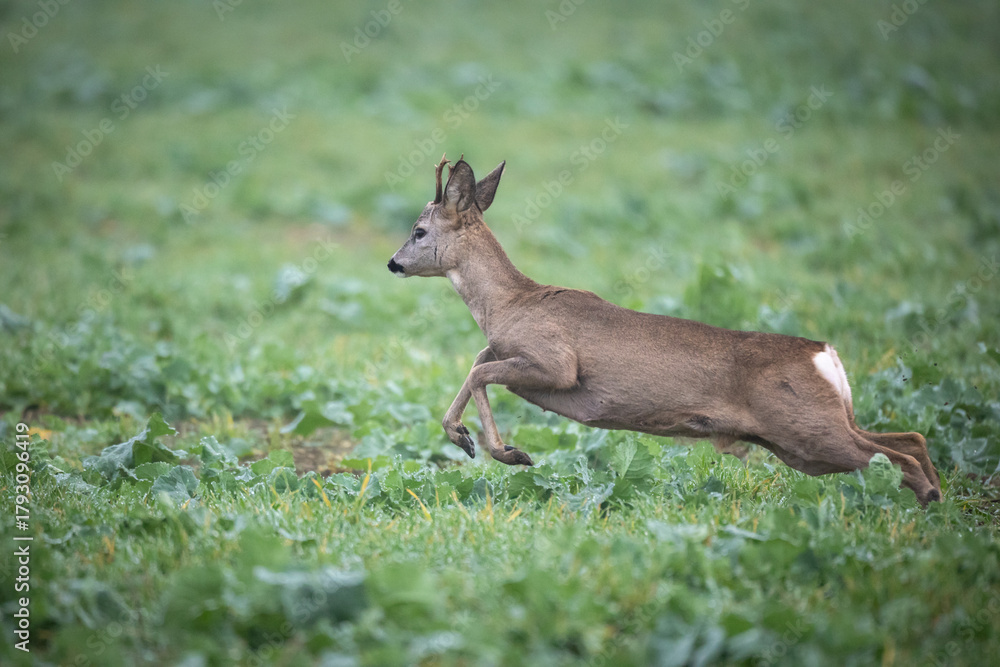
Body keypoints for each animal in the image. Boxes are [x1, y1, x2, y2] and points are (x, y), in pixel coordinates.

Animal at [387, 155, 942, 505]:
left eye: (418, 230)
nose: (393, 263)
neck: (508, 304)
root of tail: (825, 355)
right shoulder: (510, 352)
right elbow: (477, 362)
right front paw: (462, 437)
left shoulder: (557, 363)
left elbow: (480, 371)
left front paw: (507, 452)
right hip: (811, 434)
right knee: (911, 438)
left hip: (806, 430)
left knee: (896, 456)